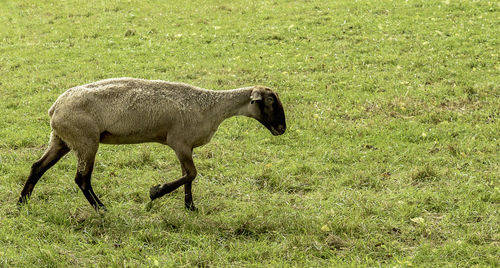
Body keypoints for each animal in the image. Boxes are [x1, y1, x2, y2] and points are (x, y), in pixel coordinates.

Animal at [17, 77, 288, 211]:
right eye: (270, 101)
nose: (282, 129)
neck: (212, 107)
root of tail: (55, 108)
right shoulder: (179, 142)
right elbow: (191, 174)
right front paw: (156, 192)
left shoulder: (185, 146)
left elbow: (188, 176)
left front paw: (190, 207)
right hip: (85, 141)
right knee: (82, 179)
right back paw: (101, 208)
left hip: (61, 139)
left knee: (37, 167)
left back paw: (22, 203)